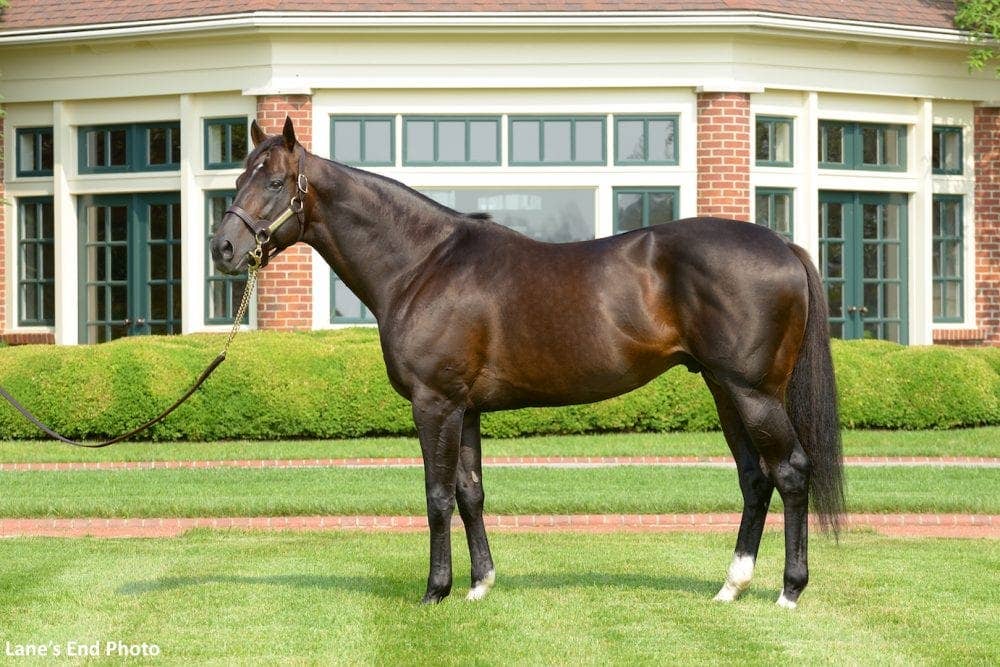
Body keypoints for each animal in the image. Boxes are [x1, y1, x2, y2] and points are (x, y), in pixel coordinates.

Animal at [211, 117, 844, 609]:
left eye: (274, 182)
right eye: (238, 178)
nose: (223, 249)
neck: (422, 264)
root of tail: (785, 245)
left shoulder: (434, 405)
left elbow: (437, 496)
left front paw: (436, 591)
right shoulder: (464, 409)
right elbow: (470, 492)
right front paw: (479, 585)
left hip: (753, 392)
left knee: (790, 471)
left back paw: (789, 591)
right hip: (723, 388)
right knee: (755, 477)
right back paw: (731, 586)